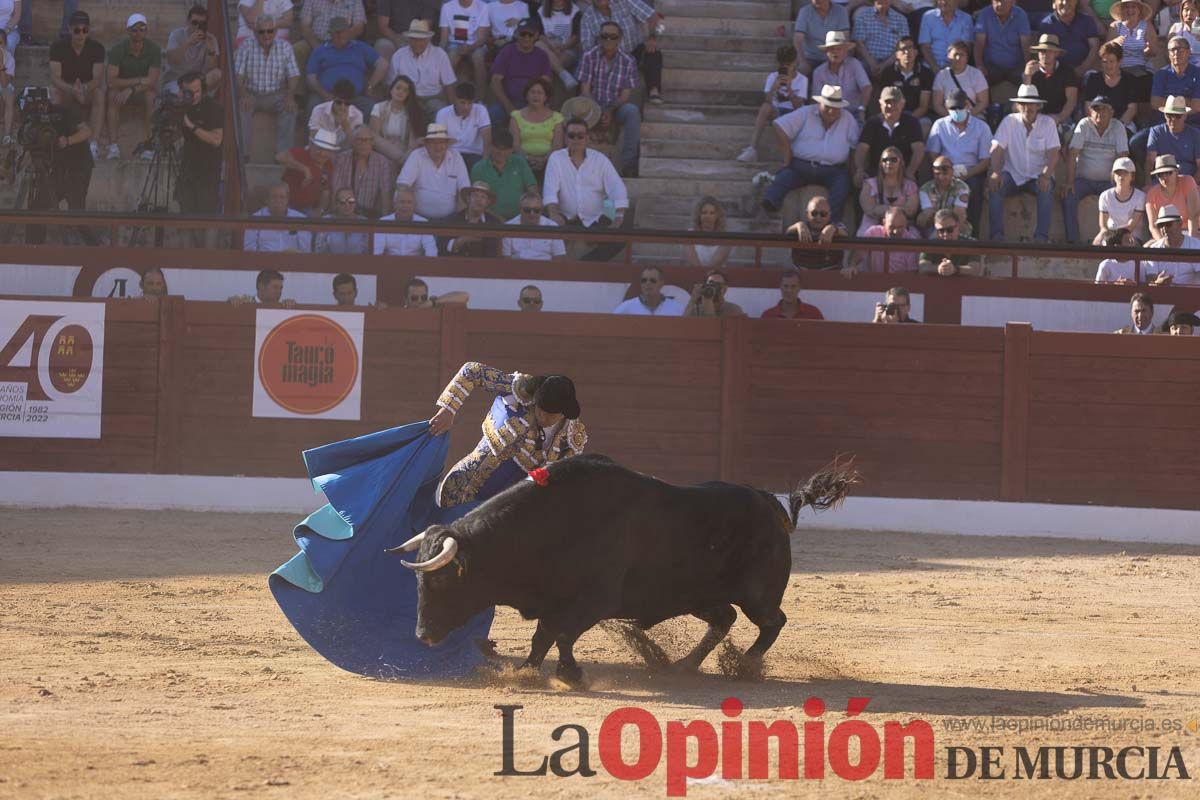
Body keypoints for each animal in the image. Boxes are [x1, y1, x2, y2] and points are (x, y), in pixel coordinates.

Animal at [388, 453, 859, 686]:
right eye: (417, 579)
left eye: (442, 577)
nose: (422, 636)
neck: (548, 524)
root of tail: (771, 503)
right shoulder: (553, 600)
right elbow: (544, 635)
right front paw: (525, 671)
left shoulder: (595, 600)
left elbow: (561, 634)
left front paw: (571, 674)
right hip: (696, 595)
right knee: (723, 619)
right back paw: (684, 665)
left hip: (758, 592)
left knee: (772, 622)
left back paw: (742, 667)